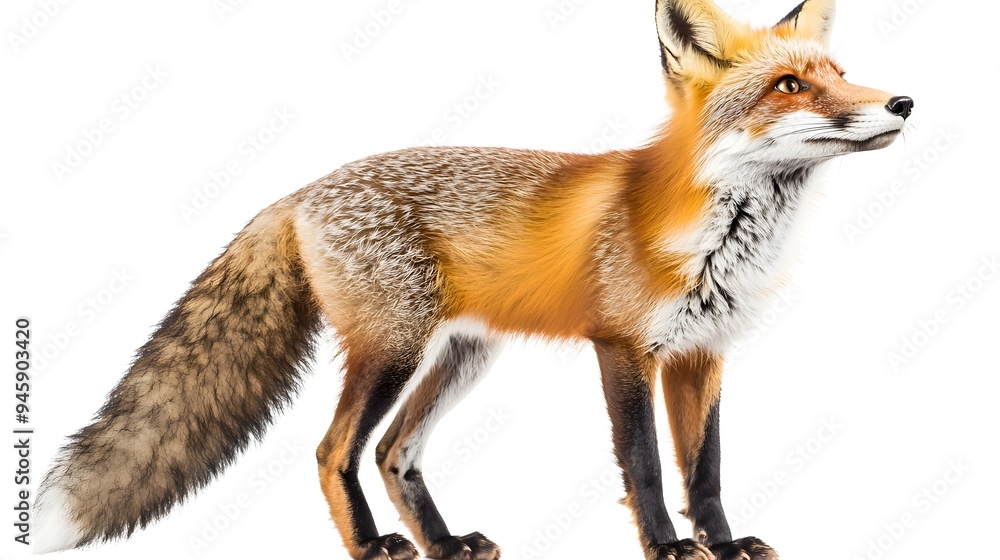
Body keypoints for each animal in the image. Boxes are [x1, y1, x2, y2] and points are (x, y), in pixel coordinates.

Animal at [33, 0, 912, 559]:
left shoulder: (703, 353)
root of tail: (299, 191)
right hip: (392, 349)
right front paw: (668, 550)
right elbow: (646, 466)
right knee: (332, 450)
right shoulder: (622, 347)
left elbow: (708, 468)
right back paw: (377, 548)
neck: (719, 237)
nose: (903, 100)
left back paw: (446, 544)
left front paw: (723, 547)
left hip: (460, 357)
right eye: (790, 86)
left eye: (841, 71)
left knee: (393, 452)